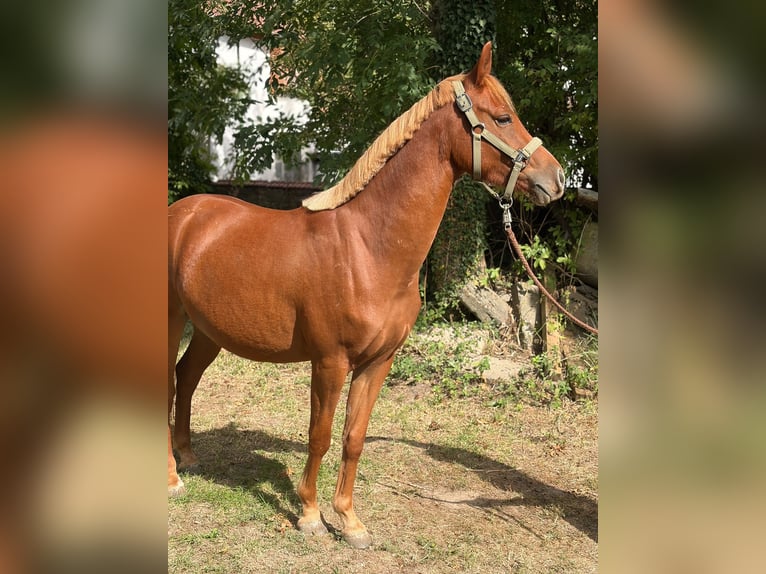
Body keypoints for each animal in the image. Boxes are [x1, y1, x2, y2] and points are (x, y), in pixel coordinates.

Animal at [168, 42, 565, 549]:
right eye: (501, 118)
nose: (557, 179)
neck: (367, 248)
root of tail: (181, 214)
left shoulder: (378, 362)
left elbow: (353, 437)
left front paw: (350, 521)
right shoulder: (330, 361)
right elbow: (319, 435)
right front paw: (310, 515)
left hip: (208, 330)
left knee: (185, 378)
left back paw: (188, 458)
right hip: (170, 322)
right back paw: (171, 479)